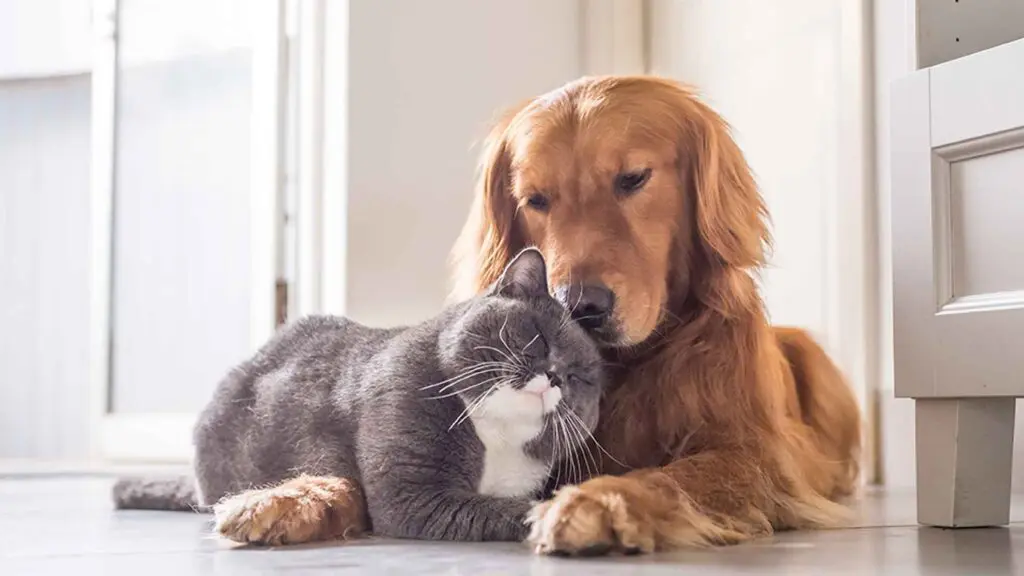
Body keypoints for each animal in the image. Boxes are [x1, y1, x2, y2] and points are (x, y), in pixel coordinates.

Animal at [112, 248, 606, 541]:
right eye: (537, 337)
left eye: (580, 377)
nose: (555, 376)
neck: (497, 436)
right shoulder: (412, 495)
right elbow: (507, 509)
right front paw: (561, 516)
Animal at [452, 75, 860, 553]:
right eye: (535, 199)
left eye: (633, 178)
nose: (579, 305)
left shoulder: (755, 455)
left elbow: (671, 476)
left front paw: (598, 501)